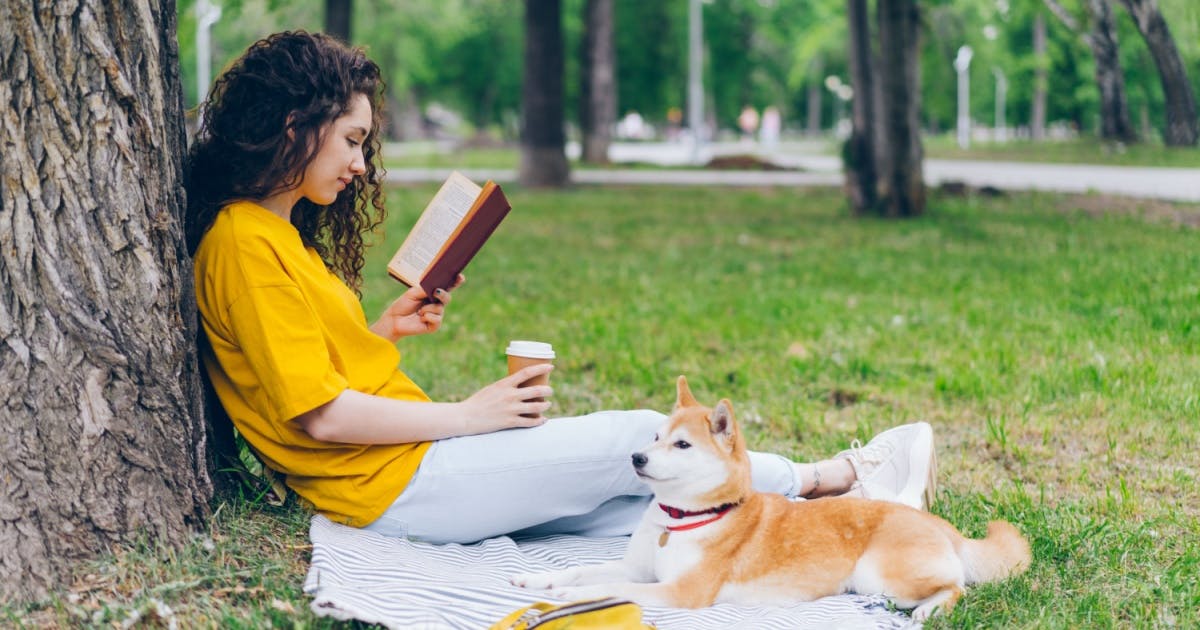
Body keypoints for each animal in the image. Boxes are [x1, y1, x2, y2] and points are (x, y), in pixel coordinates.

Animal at [511, 374, 1027, 619]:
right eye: (655, 436)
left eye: (682, 445)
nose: (636, 457)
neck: (683, 519)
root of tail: (942, 526)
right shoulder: (636, 568)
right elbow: (583, 570)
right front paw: (539, 581)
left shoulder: (678, 591)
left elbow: (608, 589)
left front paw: (566, 597)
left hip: (878, 575)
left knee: (958, 586)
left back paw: (928, 610)